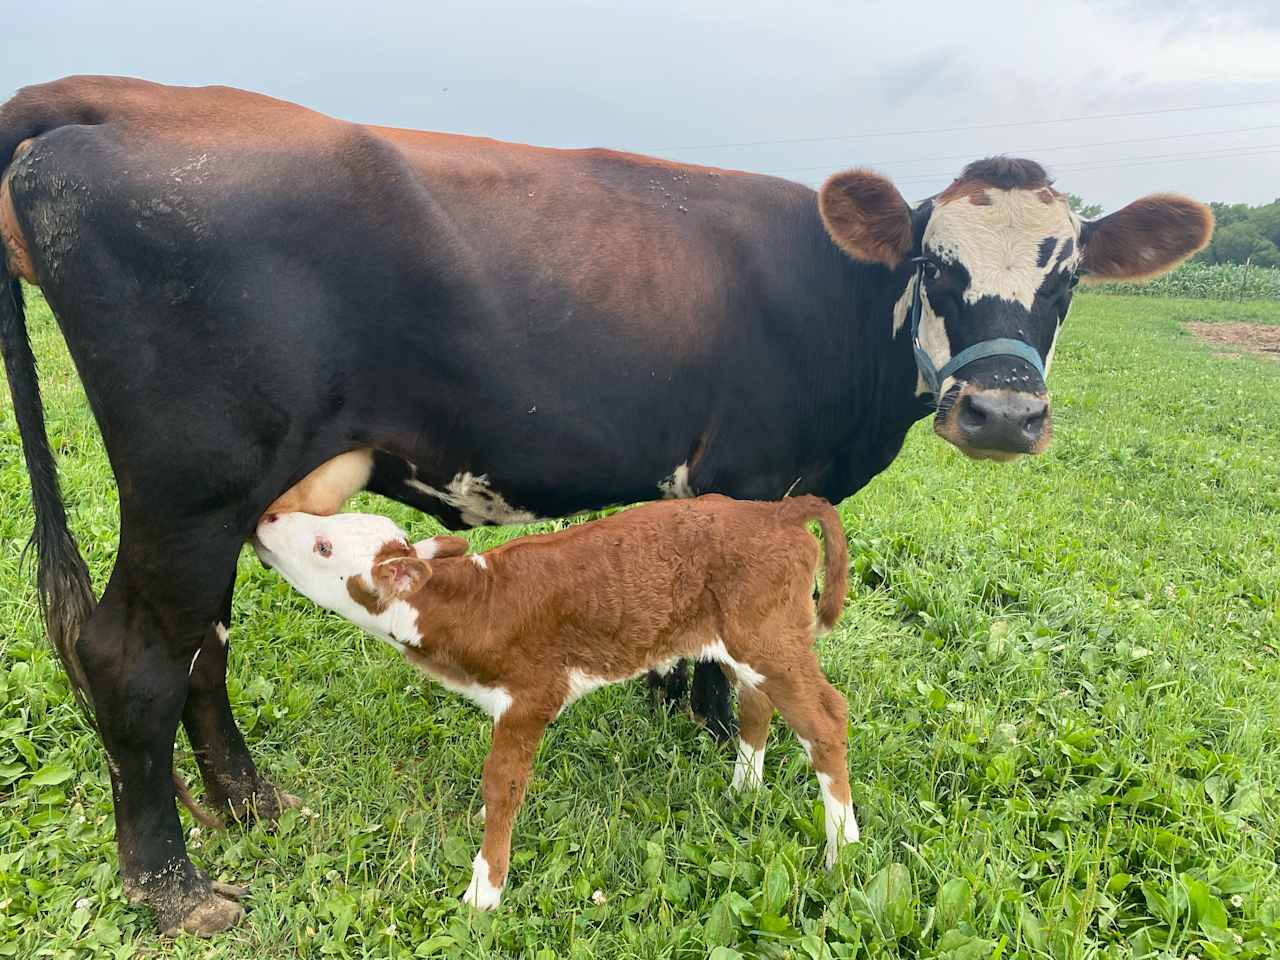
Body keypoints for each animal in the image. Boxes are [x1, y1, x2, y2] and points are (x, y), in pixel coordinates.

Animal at [250, 496, 855, 911]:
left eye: (324, 547)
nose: (268, 517)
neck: (474, 603)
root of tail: (776, 512)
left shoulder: (531, 696)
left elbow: (503, 783)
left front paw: (484, 890)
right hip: (744, 641)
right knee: (758, 704)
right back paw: (744, 787)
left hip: (769, 638)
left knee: (826, 719)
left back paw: (841, 850)